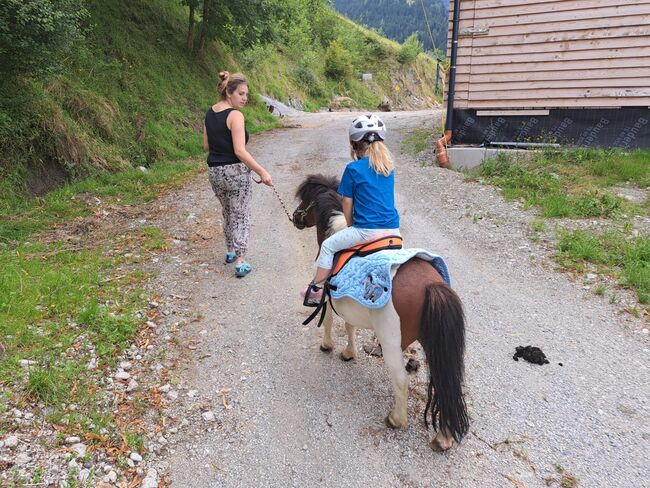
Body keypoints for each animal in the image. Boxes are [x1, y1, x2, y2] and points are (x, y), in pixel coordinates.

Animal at [292, 174, 466, 450]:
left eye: (305, 199)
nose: (296, 217)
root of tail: (432, 285)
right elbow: (350, 326)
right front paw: (349, 353)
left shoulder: (327, 298)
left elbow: (330, 323)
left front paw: (328, 346)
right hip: (433, 343)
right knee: (443, 382)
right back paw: (444, 437)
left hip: (392, 342)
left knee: (401, 381)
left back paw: (396, 419)